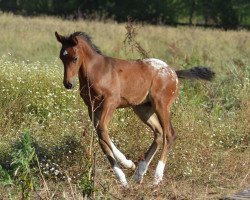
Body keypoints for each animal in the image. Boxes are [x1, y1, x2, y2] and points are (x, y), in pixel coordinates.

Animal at [55, 30, 215, 186]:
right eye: (61, 57)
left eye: (75, 58)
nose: (68, 84)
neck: (97, 72)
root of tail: (174, 72)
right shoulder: (91, 107)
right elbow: (101, 136)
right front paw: (124, 177)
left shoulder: (110, 102)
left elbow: (102, 130)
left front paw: (127, 164)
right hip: (143, 109)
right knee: (158, 133)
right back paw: (139, 173)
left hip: (161, 105)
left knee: (169, 134)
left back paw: (156, 178)